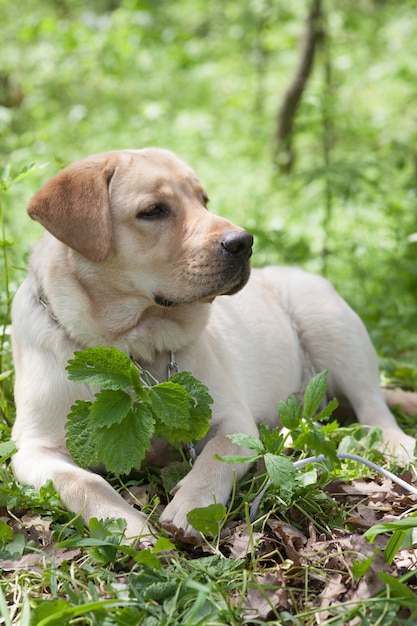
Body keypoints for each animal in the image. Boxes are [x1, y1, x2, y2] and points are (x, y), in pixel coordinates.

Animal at [11, 149, 414, 540]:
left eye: (203, 200)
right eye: (153, 210)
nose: (244, 242)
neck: (136, 348)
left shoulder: (232, 419)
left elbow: (216, 458)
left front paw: (192, 507)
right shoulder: (31, 449)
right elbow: (82, 482)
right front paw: (125, 524)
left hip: (331, 325)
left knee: (375, 411)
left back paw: (399, 445)